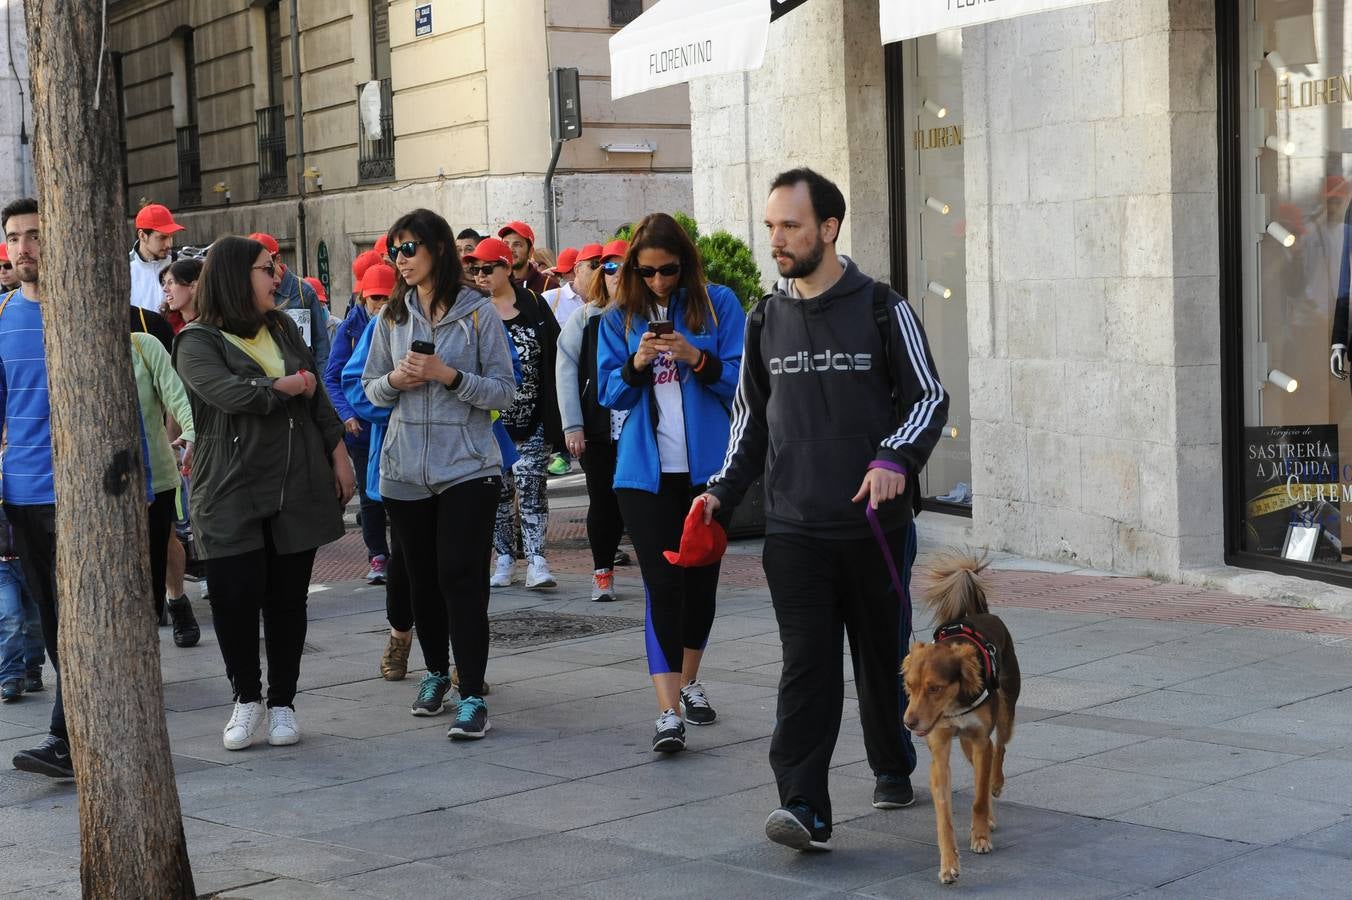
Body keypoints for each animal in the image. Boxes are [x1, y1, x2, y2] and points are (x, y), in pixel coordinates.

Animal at [903, 551, 1016, 881]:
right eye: (910, 686)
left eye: (935, 688)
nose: (908, 723)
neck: (952, 706)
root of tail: (980, 614)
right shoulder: (941, 747)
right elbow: (944, 813)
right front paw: (948, 863)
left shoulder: (980, 741)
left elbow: (978, 798)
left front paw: (980, 838)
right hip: (965, 743)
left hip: (1004, 715)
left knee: (999, 749)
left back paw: (996, 786)